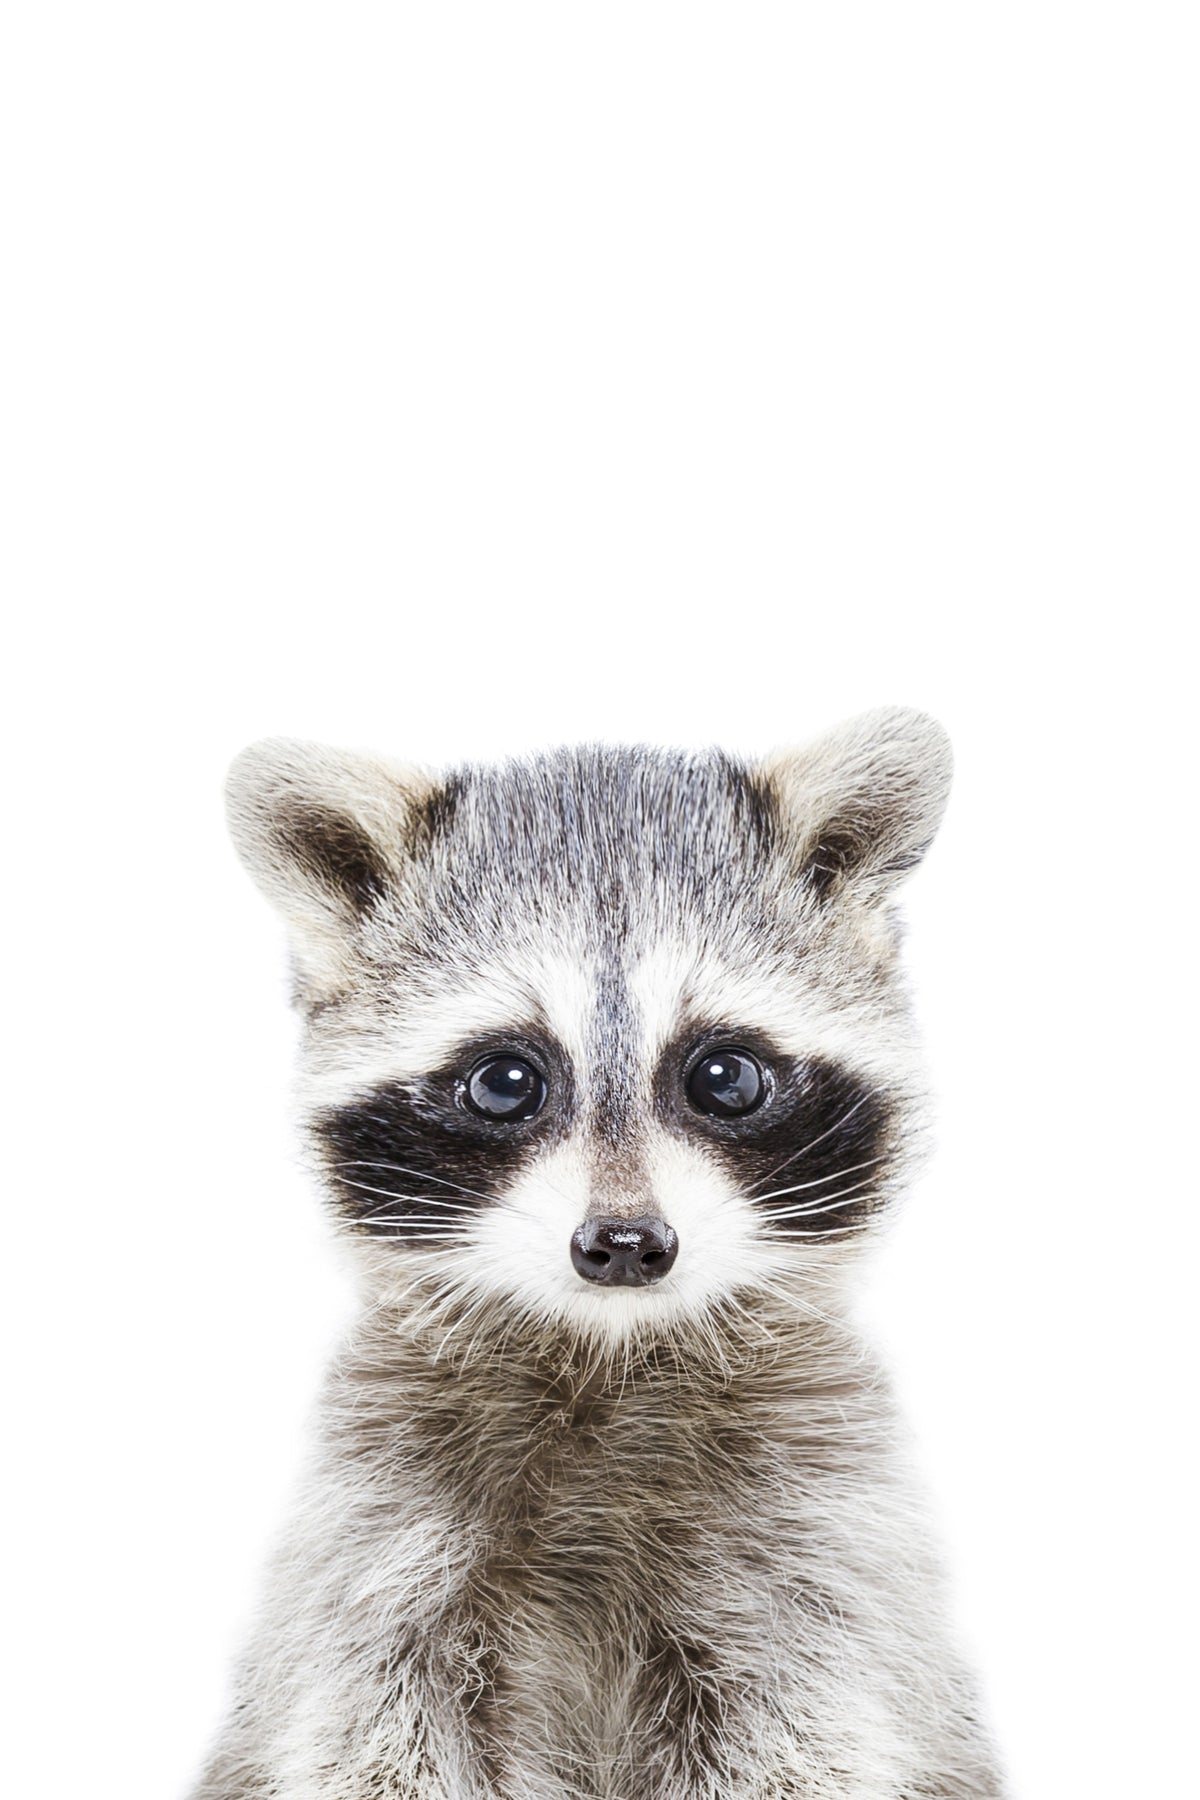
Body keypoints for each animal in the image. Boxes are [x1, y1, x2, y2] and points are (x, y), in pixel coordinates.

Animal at [192, 708, 1005, 1800]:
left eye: (724, 1076)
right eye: (504, 1081)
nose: (625, 1245)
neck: (608, 1351)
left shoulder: (819, 1544)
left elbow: (804, 1732)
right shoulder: (379, 1535)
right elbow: (371, 1730)